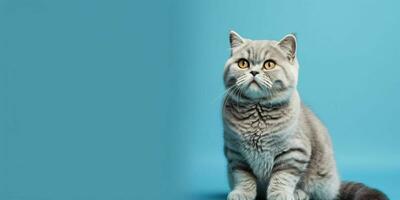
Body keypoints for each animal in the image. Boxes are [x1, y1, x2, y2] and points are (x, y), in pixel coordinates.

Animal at [222, 30, 388, 200]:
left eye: (269, 64)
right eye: (243, 63)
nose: (254, 72)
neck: (257, 114)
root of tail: (336, 184)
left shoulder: (294, 153)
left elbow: (282, 179)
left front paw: (280, 195)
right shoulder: (236, 153)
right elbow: (243, 178)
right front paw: (241, 193)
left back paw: (298, 193)